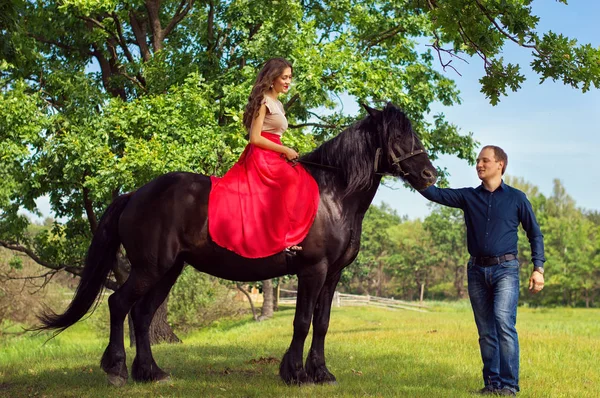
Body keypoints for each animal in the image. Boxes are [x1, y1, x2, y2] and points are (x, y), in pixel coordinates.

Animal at [38, 102, 436, 386]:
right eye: (397, 136)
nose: (430, 175)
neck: (332, 194)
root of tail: (136, 194)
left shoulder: (333, 274)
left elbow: (322, 323)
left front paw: (321, 373)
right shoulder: (313, 270)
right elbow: (302, 321)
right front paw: (295, 374)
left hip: (168, 271)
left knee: (142, 314)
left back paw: (151, 373)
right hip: (150, 268)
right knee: (119, 304)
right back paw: (117, 370)